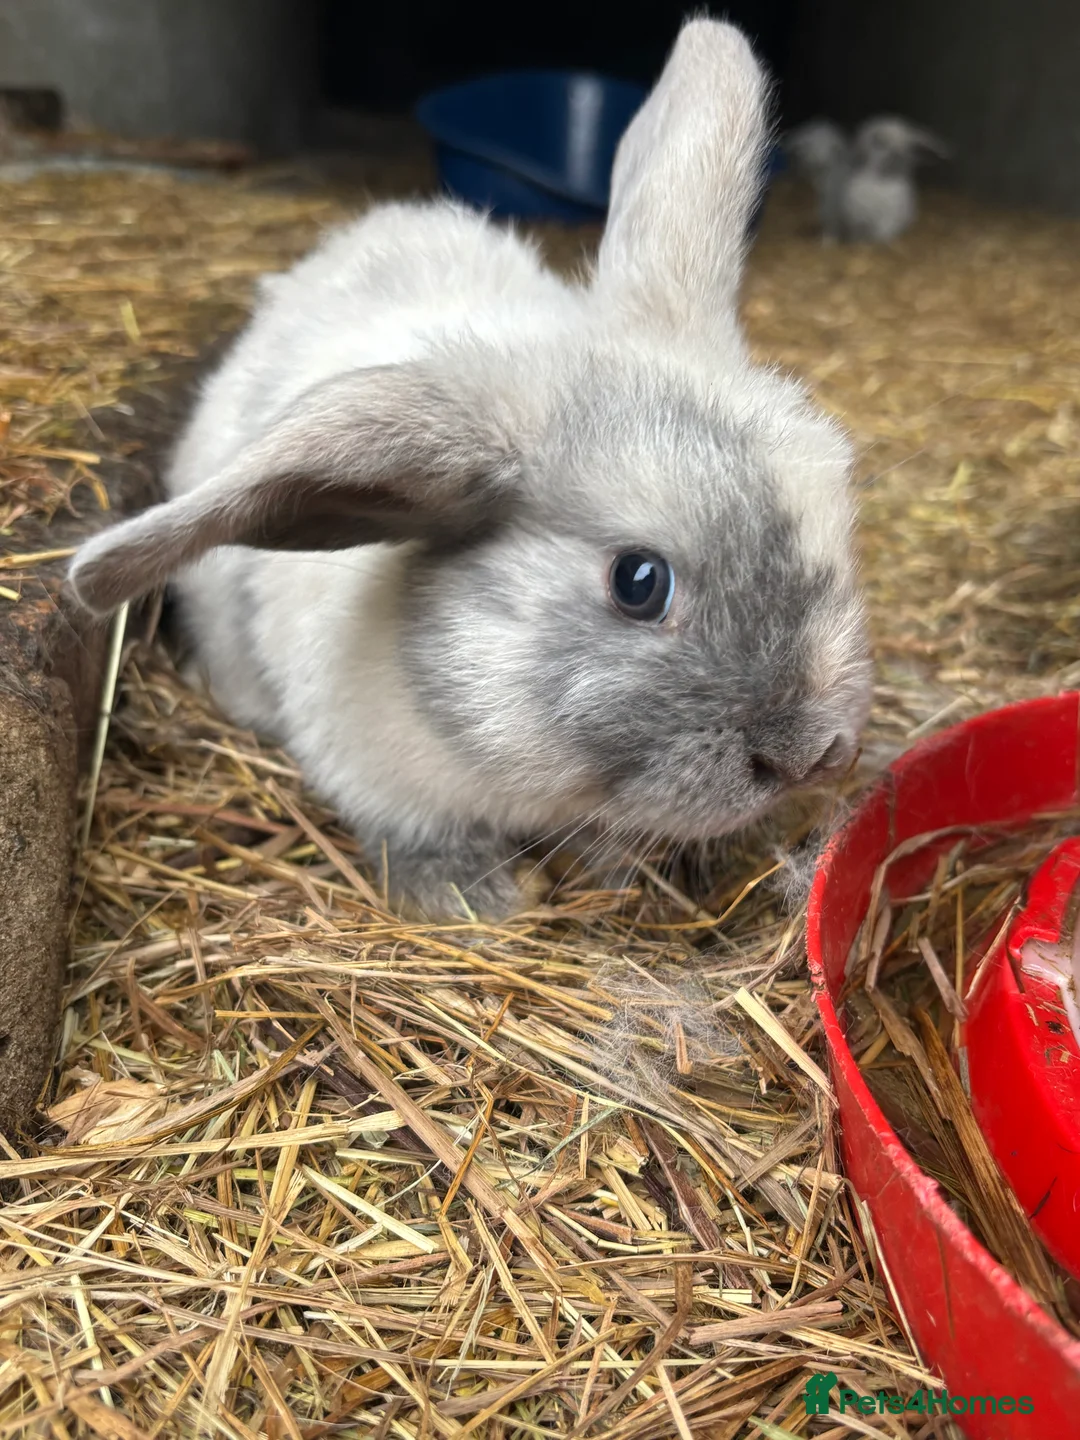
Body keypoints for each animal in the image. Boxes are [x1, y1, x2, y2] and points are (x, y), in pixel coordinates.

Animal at [68, 18, 872, 922]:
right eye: (639, 582)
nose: (812, 754)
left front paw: (611, 869)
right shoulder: (375, 772)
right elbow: (418, 836)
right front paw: (475, 900)